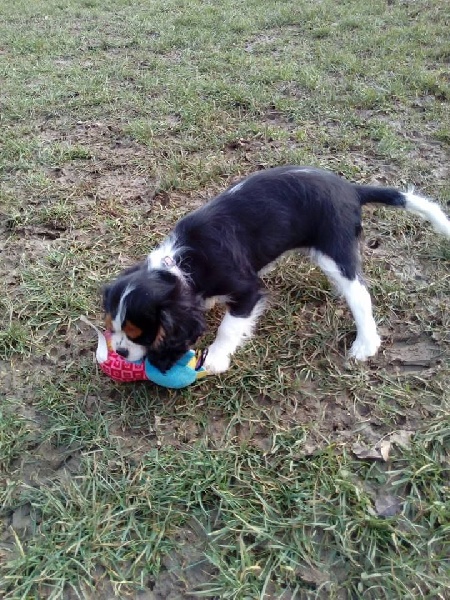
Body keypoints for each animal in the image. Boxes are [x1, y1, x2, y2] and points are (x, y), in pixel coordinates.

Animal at [103, 166, 450, 372]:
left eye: (139, 333)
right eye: (112, 327)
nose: (119, 352)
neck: (179, 263)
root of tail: (351, 189)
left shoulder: (247, 289)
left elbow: (230, 326)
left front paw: (215, 357)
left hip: (335, 251)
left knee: (359, 295)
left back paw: (366, 343)